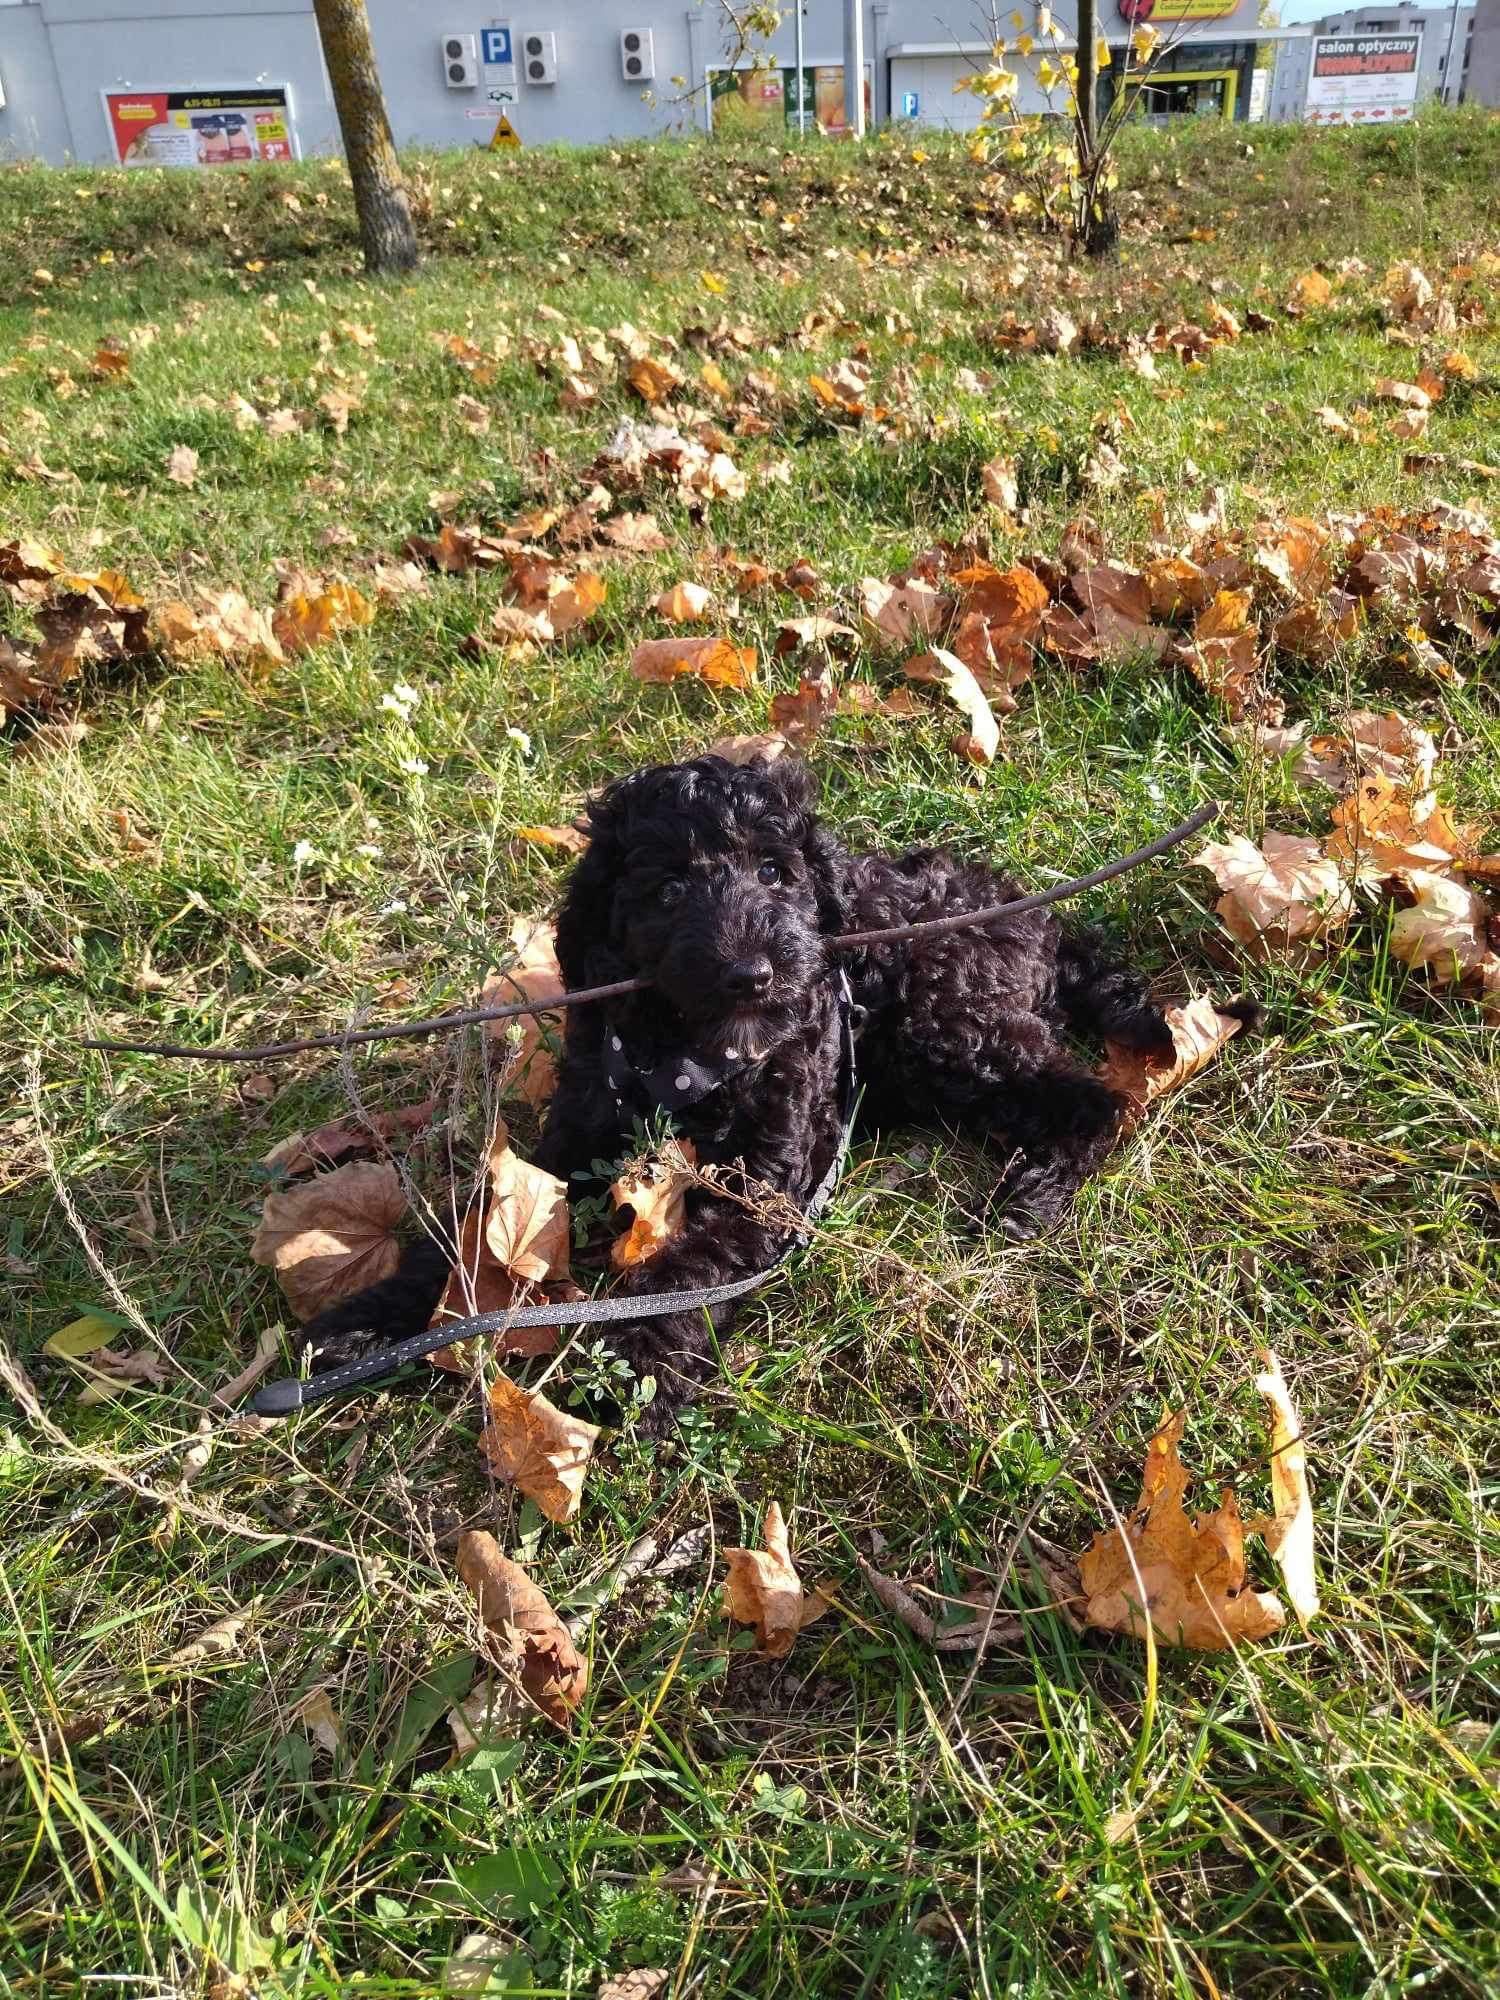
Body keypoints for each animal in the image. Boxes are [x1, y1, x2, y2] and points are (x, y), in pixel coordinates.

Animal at [296, 752, 1184, 1424]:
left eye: (772, 871)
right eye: (666, 891)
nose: (752, 973)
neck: (689, 1055)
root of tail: (1037, 918)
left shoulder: (765, 1180)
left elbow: (693, 1267)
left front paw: (635, 1366)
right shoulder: (575, 1136)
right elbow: (474, 1219)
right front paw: (367, 1323)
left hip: (950, 1027)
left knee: (1094, 1100)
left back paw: (1033, 1195)